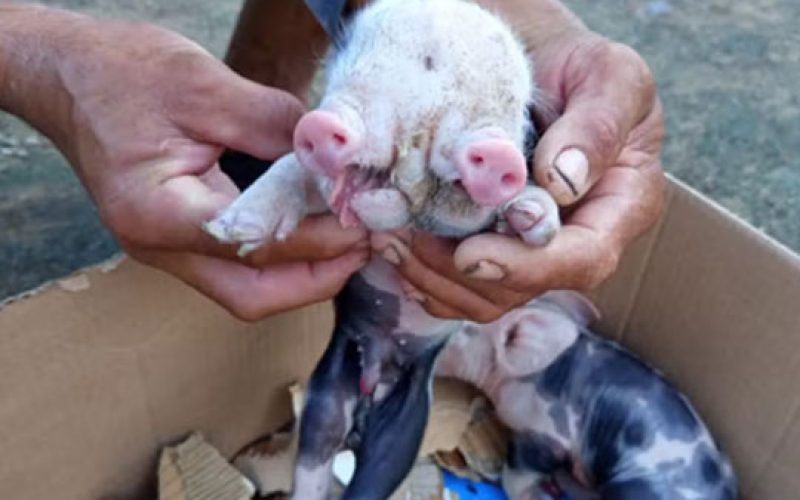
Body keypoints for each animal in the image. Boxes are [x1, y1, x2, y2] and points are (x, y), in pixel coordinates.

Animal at [204, 0, 561, 498]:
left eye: (523, 115)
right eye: (346, 52)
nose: (495, 151)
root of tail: (374, 379)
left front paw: (531, 215)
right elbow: (294, 167)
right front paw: (233, 229)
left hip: (405, 429)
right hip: (326, 396)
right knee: (315, 456)